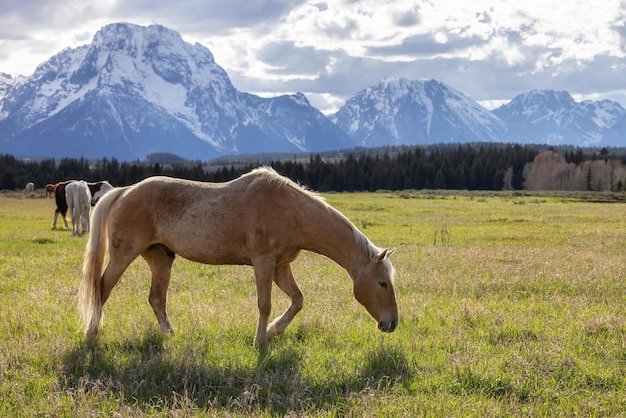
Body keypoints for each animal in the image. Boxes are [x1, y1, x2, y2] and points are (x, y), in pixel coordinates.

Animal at [78, 167, 398, 346]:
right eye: (382, 283)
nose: (392, 323)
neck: (292, 210)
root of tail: (123, 192)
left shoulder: (281, 266)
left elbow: (297, 301)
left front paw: (272, 331)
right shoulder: (264, 263)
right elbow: (265, 304)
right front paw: (260, 341)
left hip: (160, 258)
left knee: (156, 299)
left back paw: (171, 335)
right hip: (123, 256)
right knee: (101, 289)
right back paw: (92, 334)